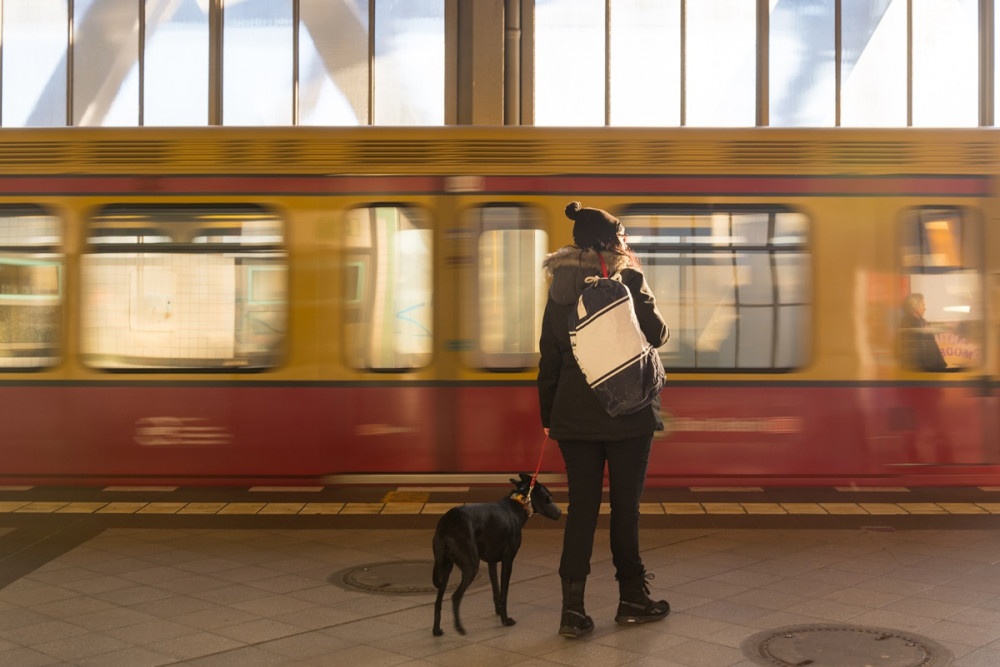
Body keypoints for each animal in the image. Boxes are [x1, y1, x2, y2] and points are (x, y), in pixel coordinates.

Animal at [432, 470, 564, 636]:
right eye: (549, 498)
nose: (560, 512)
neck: (519, 503)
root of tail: (445, 524)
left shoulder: (492, 562)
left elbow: (496, 591)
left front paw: (499, 613)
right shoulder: (508, 561)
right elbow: (504, 593)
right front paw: (505, 620)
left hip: (445, 566)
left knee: (438, 600)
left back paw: (436, 630)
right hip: (470, 566)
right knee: (455, 597)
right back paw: (459, 628)